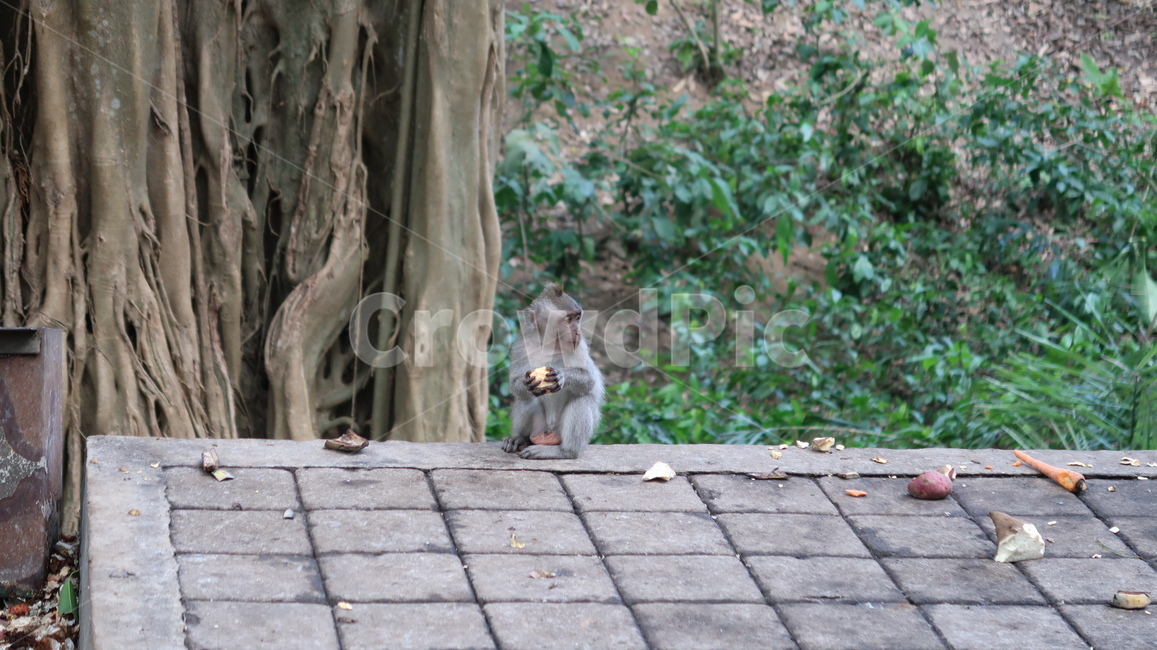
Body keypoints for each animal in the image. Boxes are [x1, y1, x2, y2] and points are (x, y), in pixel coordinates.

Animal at [501, 283, 604, 460]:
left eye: (577, 317)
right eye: (568, 320)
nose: (577, 331)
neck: (550, 344)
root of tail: (550, 431)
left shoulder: (579, 345)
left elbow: (589, 380)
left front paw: (562, 376)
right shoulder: (520, 345)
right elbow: (515, 384)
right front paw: (525, 383)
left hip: (560, 432)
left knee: (581, 399)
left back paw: (565, 451)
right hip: (541, 427)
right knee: (526, 399)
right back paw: (522, 438)